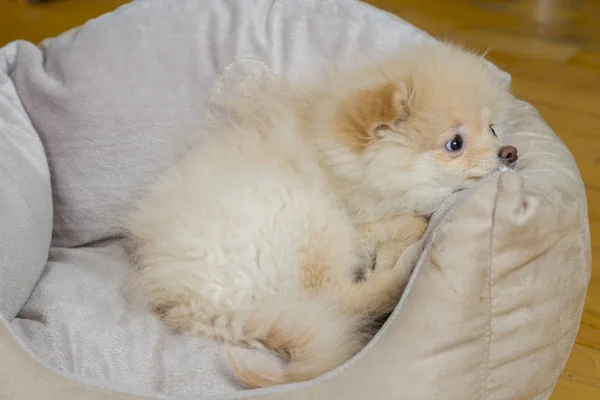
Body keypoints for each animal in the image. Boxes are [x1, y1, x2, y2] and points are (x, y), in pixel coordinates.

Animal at [124, 43, 516, 388]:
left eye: (492, 129)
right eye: (455, 143)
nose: (510, 153)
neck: (340, 159)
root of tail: (192, 303)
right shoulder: (356, 221)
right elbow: (407, 221)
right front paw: (401, 243)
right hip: (313, 221)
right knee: (337, 298)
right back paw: (402, 270)